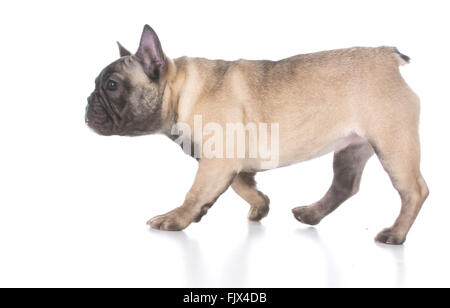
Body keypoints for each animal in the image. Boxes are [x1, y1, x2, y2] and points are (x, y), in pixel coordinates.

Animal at [85, 24, 428, 245]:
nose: (88, 102)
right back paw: (311, 215)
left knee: (414, 191)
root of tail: (387, 56)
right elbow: (242, 187)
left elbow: (196, 192)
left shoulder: (218, 162)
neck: (182, 90)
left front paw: (177, 218)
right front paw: (260, 205)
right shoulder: (227, 163)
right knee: (344, 186)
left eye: (112, 85)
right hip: (351, 150)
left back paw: (396, 234)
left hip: (393, 145)